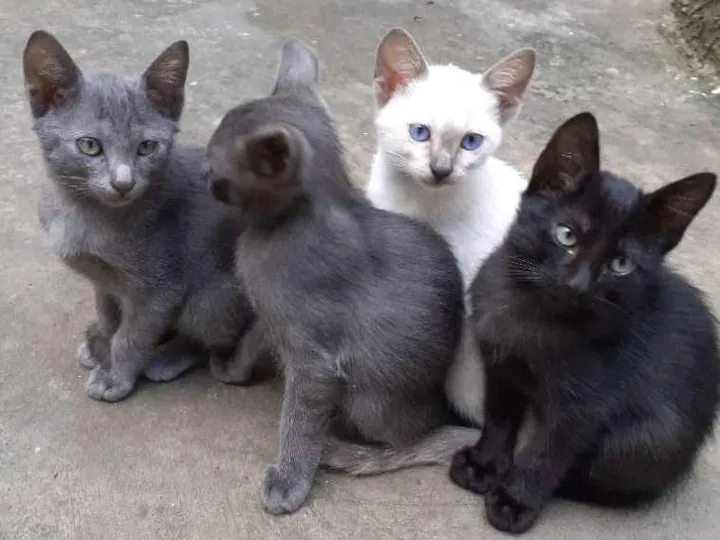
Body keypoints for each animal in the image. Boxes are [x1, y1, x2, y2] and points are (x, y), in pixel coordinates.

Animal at [24, 30, 255, 402]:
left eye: (147, 147)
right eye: (89, 146)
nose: (123, 183)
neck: (83, 214)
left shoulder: (158, 289)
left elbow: (132, 335)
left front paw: (116, 376)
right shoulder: (102, 280)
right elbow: (108, 316)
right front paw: (101, 342)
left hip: (212, 299)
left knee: (210, 340)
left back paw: (168, 357)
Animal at [205, 39, 465, 515]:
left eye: (216, 169)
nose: (204, 179)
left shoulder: (316, 359)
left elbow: (300, 419)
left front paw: (290, 480)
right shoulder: (274, 317)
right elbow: (252, 338)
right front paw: (233, 369)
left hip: (371, 397)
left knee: (409, 437)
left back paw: (355, 451)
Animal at [449, 112, 720, 534]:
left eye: (620, 264)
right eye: (566, 236)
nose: (577, 285)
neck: (535, 316)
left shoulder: (586, 404)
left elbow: (550, 452)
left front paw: (514, 500)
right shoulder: (501, 363)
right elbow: (500, 416)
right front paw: (485, 464)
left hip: (652, 438)